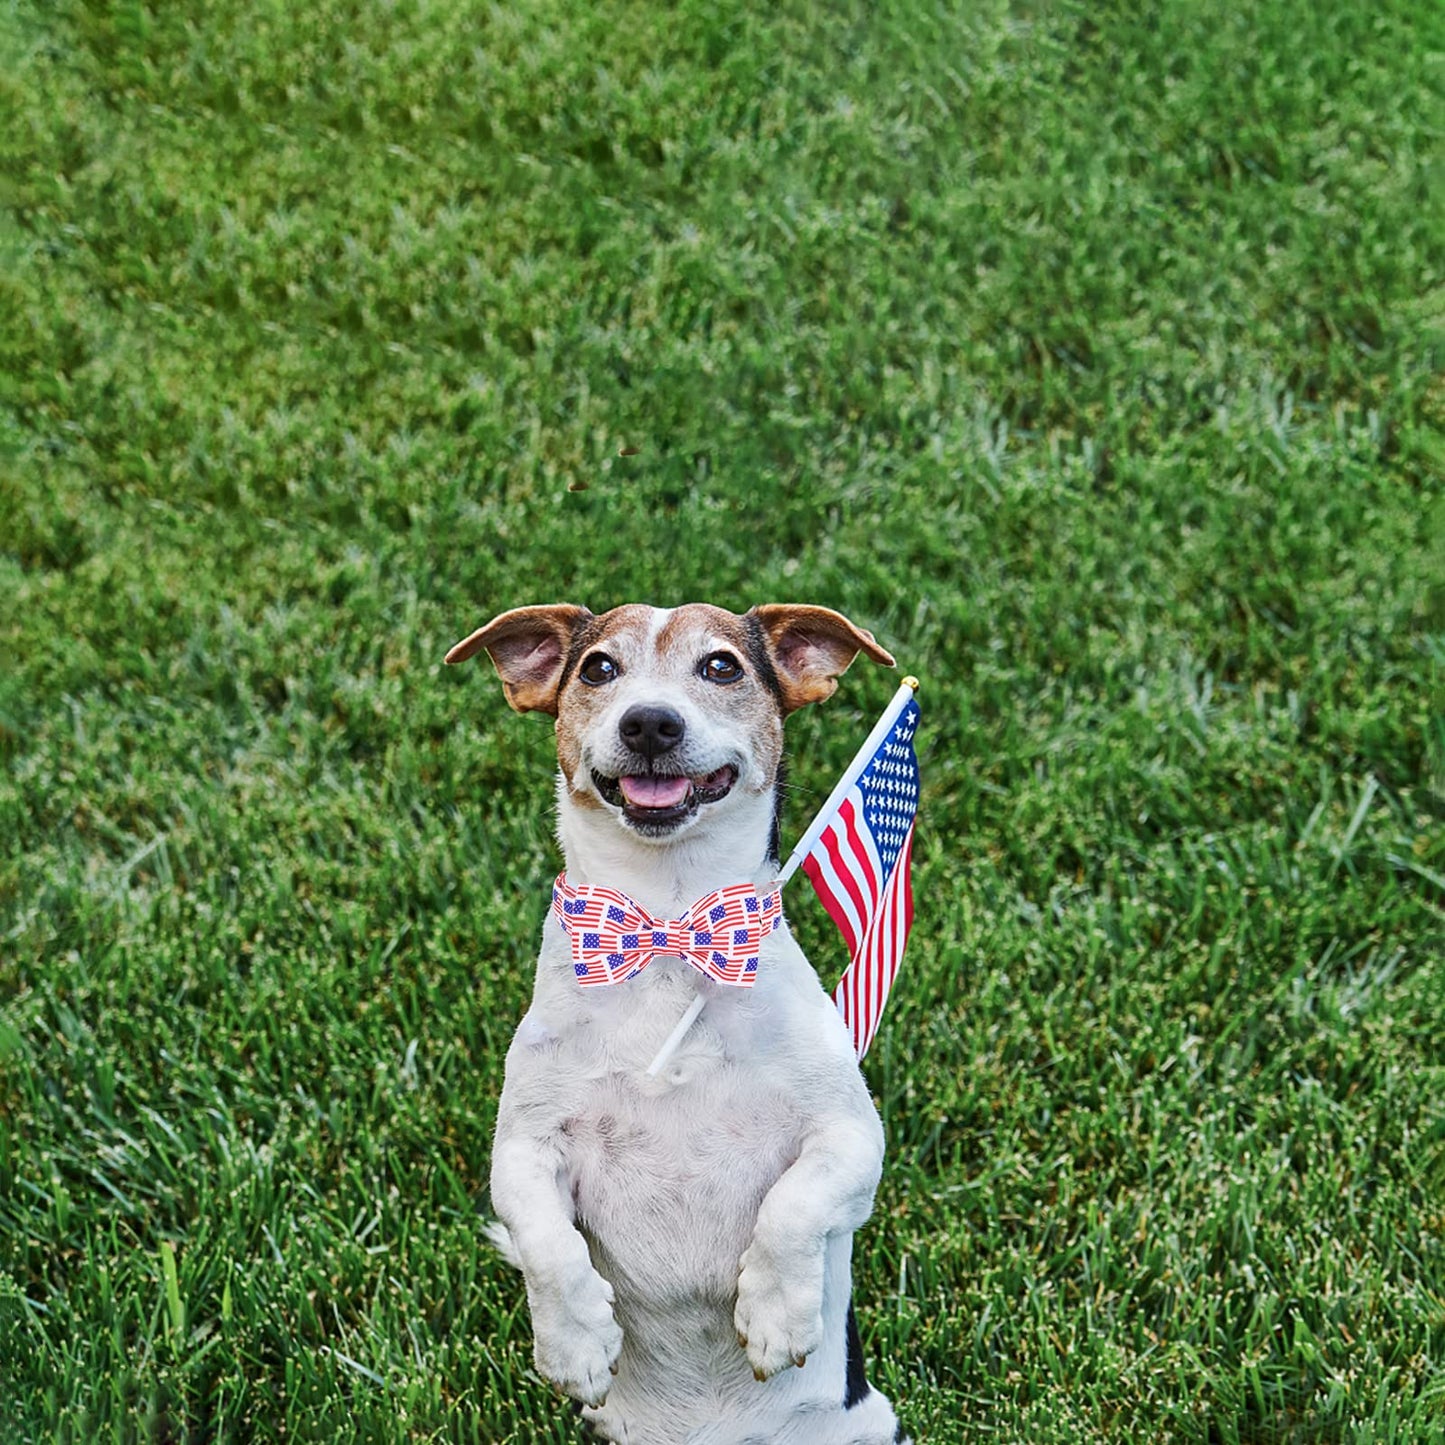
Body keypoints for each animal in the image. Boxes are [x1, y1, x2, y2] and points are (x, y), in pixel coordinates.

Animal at [445, 604, 907, 1439]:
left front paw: (776, 1314)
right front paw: (575, 1342)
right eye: (597, 667)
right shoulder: (525, 1147)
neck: (665, 924)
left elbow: (795, 1205)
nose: (651, 722)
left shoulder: (849, 1135)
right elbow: (544, 1241)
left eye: (721, 666)